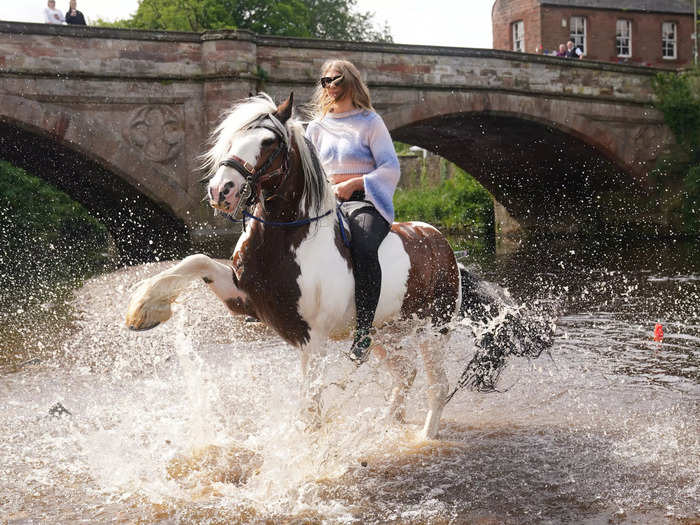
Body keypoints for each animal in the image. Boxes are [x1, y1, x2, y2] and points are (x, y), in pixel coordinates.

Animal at [126, 93, 540, 438]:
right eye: (231, 139)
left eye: (269, 142)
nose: (220, 191)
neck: (286, 240)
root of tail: (444, 248)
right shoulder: (244, 298)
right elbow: (195, 260)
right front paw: (144, 309)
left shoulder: (313, 339)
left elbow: (311, 411)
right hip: (383, 332)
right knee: (405, 375)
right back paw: (387, 423)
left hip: (432, 330)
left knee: (437, 385)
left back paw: (425, 437)